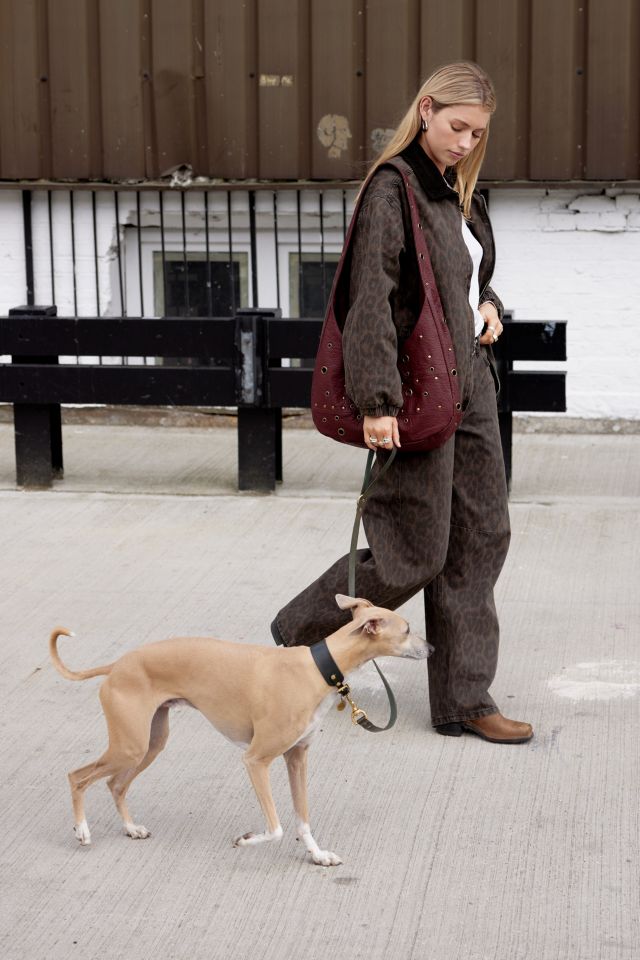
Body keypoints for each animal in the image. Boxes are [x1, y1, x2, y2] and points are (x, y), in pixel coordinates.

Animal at [51, 596, 430, 868]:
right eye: (407, 628)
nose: (433, 649)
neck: (319, 668)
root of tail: (117, 665)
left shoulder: (297, 758)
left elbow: (302, 819)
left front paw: (318, 855)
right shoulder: (256, 760)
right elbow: (276, 827)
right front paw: (246, 840)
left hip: (150, 743)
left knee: (115, 784)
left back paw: (130, 828)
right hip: (130, 745)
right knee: (77, 777)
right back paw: (82, 831)